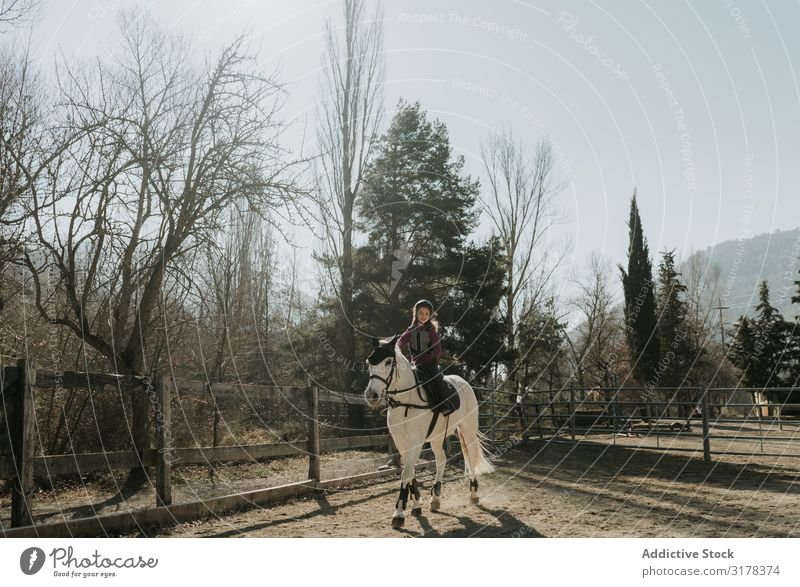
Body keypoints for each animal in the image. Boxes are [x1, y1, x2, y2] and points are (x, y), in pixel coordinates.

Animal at [368, 336, 494, 528]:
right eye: (369, 362)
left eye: (388, 362)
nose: (371, 395)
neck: (407, 400)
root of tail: (463, 382)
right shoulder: (401, 442)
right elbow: (410, 472)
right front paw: (416, 505)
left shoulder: (416, 442)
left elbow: (406, 473)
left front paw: (399, 514)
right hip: (436, 437)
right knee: (441, 460)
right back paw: (435, 498)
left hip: (468, 431)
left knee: (471, 458)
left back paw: (473, 495)